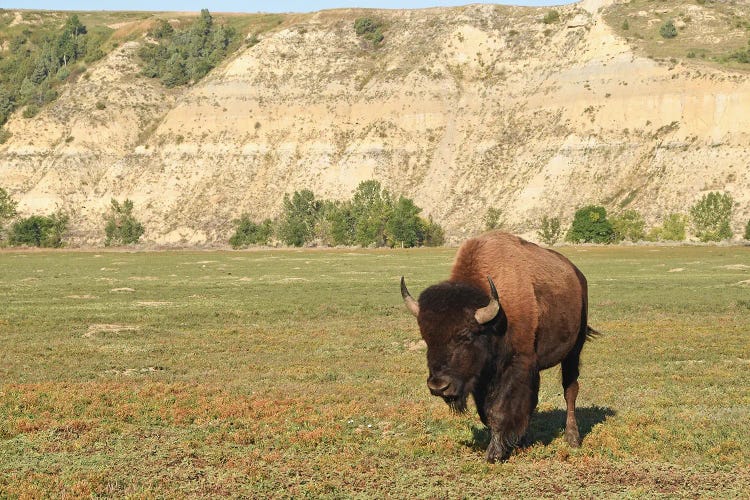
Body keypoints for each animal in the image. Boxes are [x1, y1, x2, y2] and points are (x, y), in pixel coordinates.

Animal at [402, 232, 604, 462]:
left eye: (465, 336)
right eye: (426, 337)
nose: (438, 386)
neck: (495, 322)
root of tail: (577, 276)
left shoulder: (515, 366)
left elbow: (499, 410)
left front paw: (494, 453)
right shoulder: (481, 375)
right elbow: (487, 412)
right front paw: (509, 443)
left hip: (573, 350)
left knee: (570, 390)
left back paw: (572, 439)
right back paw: (524, 439)